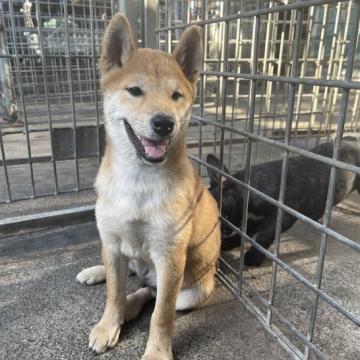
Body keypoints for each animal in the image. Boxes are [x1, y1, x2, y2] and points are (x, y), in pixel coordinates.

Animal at [76, 12, 219, 358]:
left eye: (176, 96)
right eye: (135, 91)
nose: (164, 123)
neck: (138, 181)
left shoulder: (170, 258)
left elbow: (161, 314)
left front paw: (156, 351)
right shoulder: (112, 242)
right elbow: (113, 294)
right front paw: (108, 324)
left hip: (190, 291)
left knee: (148, 293)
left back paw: (131, 307)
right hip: (115, 247)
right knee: (129, 277)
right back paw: (97, 275)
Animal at [205, 141, 360, 268]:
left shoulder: (282, 216)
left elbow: (265, 235)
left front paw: (253, 256)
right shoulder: (253, 220)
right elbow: (246, 233)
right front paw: (231, 243)